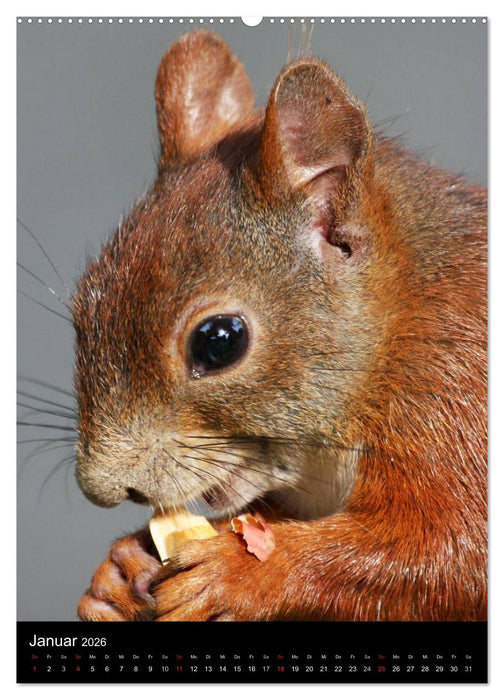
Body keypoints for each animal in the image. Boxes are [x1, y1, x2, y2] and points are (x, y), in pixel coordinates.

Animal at [75, 30, 487, 622]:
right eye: (83, 305)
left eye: (219, 342)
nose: (107, 488)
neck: (397, 326)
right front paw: (119, 571)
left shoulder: (456, 398)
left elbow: (450, 550)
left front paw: (242, 573)